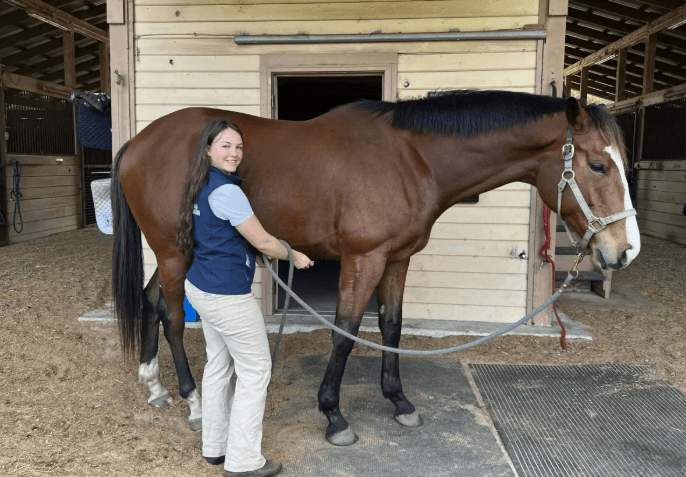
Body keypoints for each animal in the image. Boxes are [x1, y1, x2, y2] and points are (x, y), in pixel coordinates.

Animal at [111, 90, 640, 445]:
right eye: (597, 165)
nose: (624, 251)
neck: (412, 158)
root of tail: (138, 143)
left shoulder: (396, 258)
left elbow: (391, 326)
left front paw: (399, 401)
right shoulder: (363, 258)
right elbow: (346, 332)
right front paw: (333, 415)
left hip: (175, 251)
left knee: (152, 301)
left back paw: (154, 385)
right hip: (173, 249)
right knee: (173, 315)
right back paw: (193, 400)